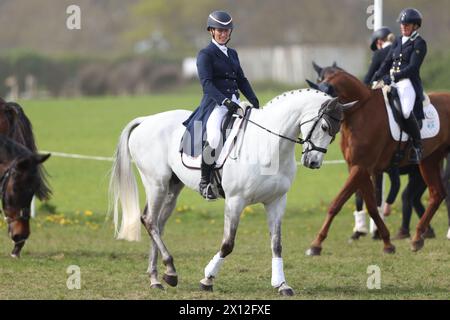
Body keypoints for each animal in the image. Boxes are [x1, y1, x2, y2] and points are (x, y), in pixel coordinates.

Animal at [110, 89, 356, 296]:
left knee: (158, 225)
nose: (313, 162)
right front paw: (207, 279)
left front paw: (282, 284)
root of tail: (146, 120)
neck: (268, 145)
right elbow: (228, 244)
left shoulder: (277, 202)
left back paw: (158, 278)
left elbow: (277, 244)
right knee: (150, 220)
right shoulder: (236, 201)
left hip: (172, 188)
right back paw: (169, 270)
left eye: (335, 133)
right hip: (157, 184)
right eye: (324, 128)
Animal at [304, 69, 448, 252]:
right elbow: (371, 206)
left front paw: (316, 244)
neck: (361, 113)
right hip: (429, 160)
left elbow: (337, 203)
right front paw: (387, 242)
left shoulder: (361, 167)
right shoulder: (360, 168)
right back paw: (416, 239)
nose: (310, 159)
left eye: (326, 111)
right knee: (437, 194)